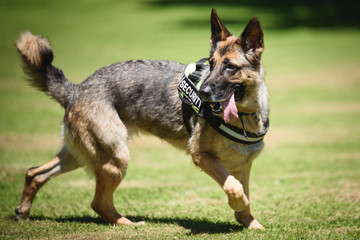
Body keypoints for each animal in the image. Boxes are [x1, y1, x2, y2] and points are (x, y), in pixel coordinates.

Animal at [14, 9, 268, 230]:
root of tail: (75, 90)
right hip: (116, 157)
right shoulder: (202, 156)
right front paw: (238, 205)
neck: (245, 116)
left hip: (81, 155)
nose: (203, 92)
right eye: (211, 65)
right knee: (98, 203)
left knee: (34, 173)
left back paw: (22, 212)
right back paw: (128, 224)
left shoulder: (243, 164)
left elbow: (241, 193)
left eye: (230, 67)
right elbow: (235, 188)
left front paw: (250, 223)